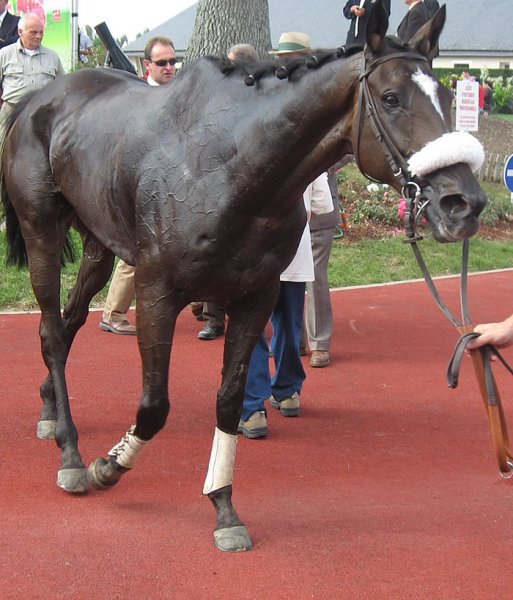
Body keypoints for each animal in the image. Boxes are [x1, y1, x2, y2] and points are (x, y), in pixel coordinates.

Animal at [2, 3, 486, 552]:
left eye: (447, 95)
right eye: (391, 98)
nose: (465, 203)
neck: (231, 165)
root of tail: (40, 98)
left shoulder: (256, 296)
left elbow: (230, 401)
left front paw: (223, 506)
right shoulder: (156, 291)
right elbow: (154, 405)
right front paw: (109, 465)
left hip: (100, 246)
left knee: (68, 323)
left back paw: (49, 409)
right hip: (40, 231)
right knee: (51, 329)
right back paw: (70, 451)